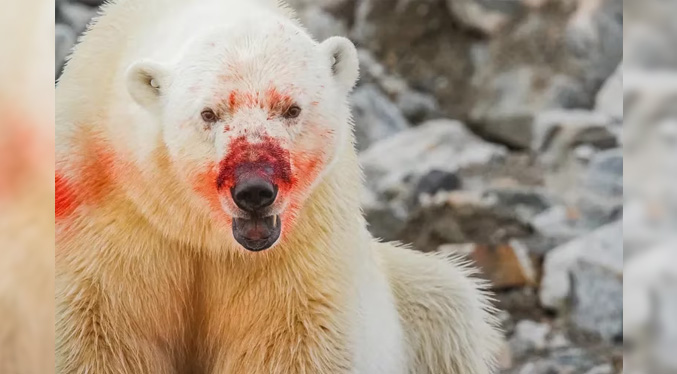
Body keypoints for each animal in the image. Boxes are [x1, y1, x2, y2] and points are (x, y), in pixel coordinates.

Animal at [56, 0, 502, 374]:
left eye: (291, 109)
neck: (204, 236)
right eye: (208, 113)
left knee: (452, 306)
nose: (254, 190)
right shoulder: (101, 223)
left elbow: (291, 342)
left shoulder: (305, 245)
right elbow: (97, 338)